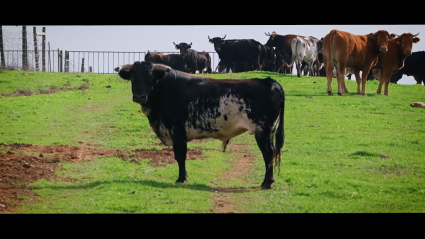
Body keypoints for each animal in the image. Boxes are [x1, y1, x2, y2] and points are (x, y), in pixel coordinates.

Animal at [114, 60, 284, 190]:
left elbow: (180, 155)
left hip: (262, 130)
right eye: (133, 78)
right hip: (269, 131)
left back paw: (267, 182)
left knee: (268, 153)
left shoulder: (178, 131)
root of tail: (269, 81)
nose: (139, 96)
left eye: (151, 79)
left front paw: (181, 178)